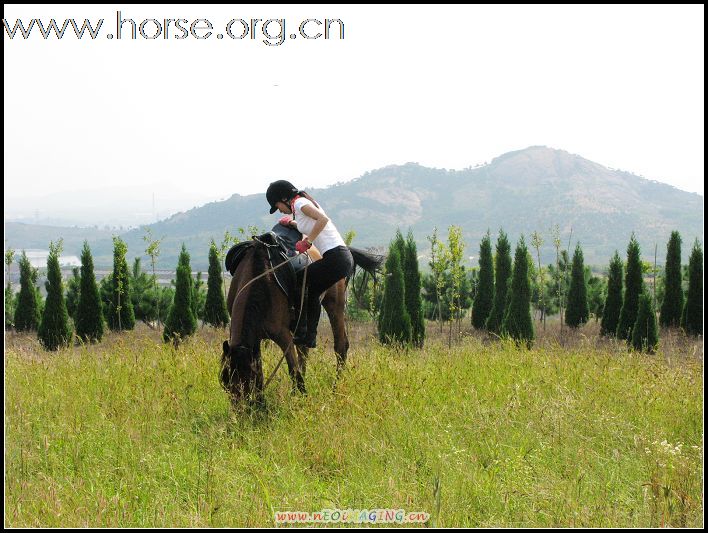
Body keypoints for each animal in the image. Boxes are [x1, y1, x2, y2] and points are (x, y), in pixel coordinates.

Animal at [221, 237, 384, 404]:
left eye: (247, 381)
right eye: (226, 383)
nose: (241, 408)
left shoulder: (283, 336)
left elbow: (293, 370)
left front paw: (302, 400)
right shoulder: (255, 338)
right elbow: (261, 366)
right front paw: (263, 401)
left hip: (335, 305)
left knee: (340, 348)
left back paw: (335, 390)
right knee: (303, 351)